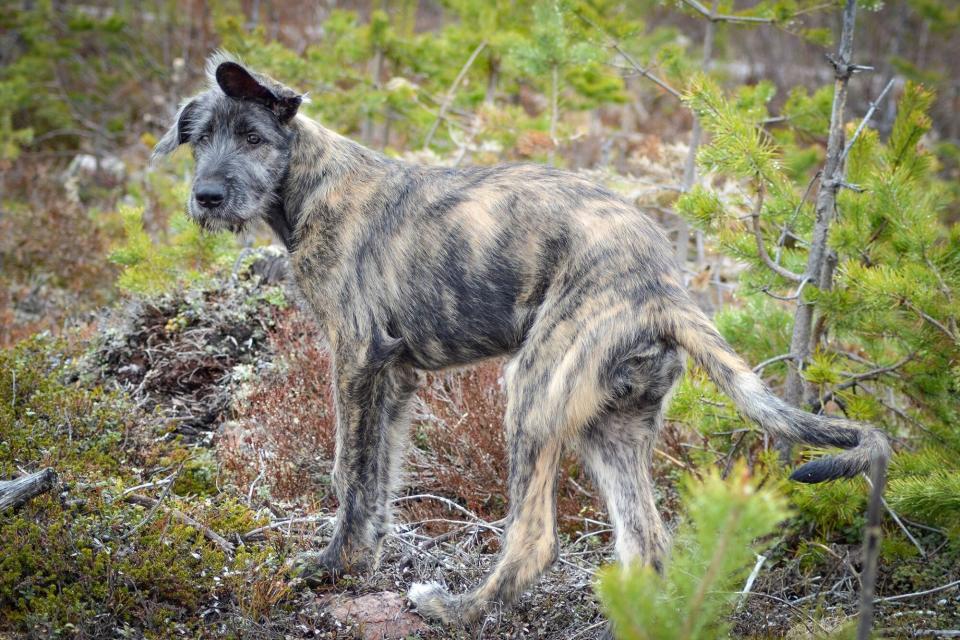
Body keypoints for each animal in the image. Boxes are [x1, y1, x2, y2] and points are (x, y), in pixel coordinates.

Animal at [156, 53, 892, 624]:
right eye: (200, 140)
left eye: (253, 137)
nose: (207, 196)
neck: (312, 181)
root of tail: (665, 292)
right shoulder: (394, 378)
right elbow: (381, 478)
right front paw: (362, 560)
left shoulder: (357, 361)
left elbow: (352, 473)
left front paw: (333, 567)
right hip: (611, 424)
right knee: (647, 545)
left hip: (534, 393)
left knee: (536, 540)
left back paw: (456, 609)